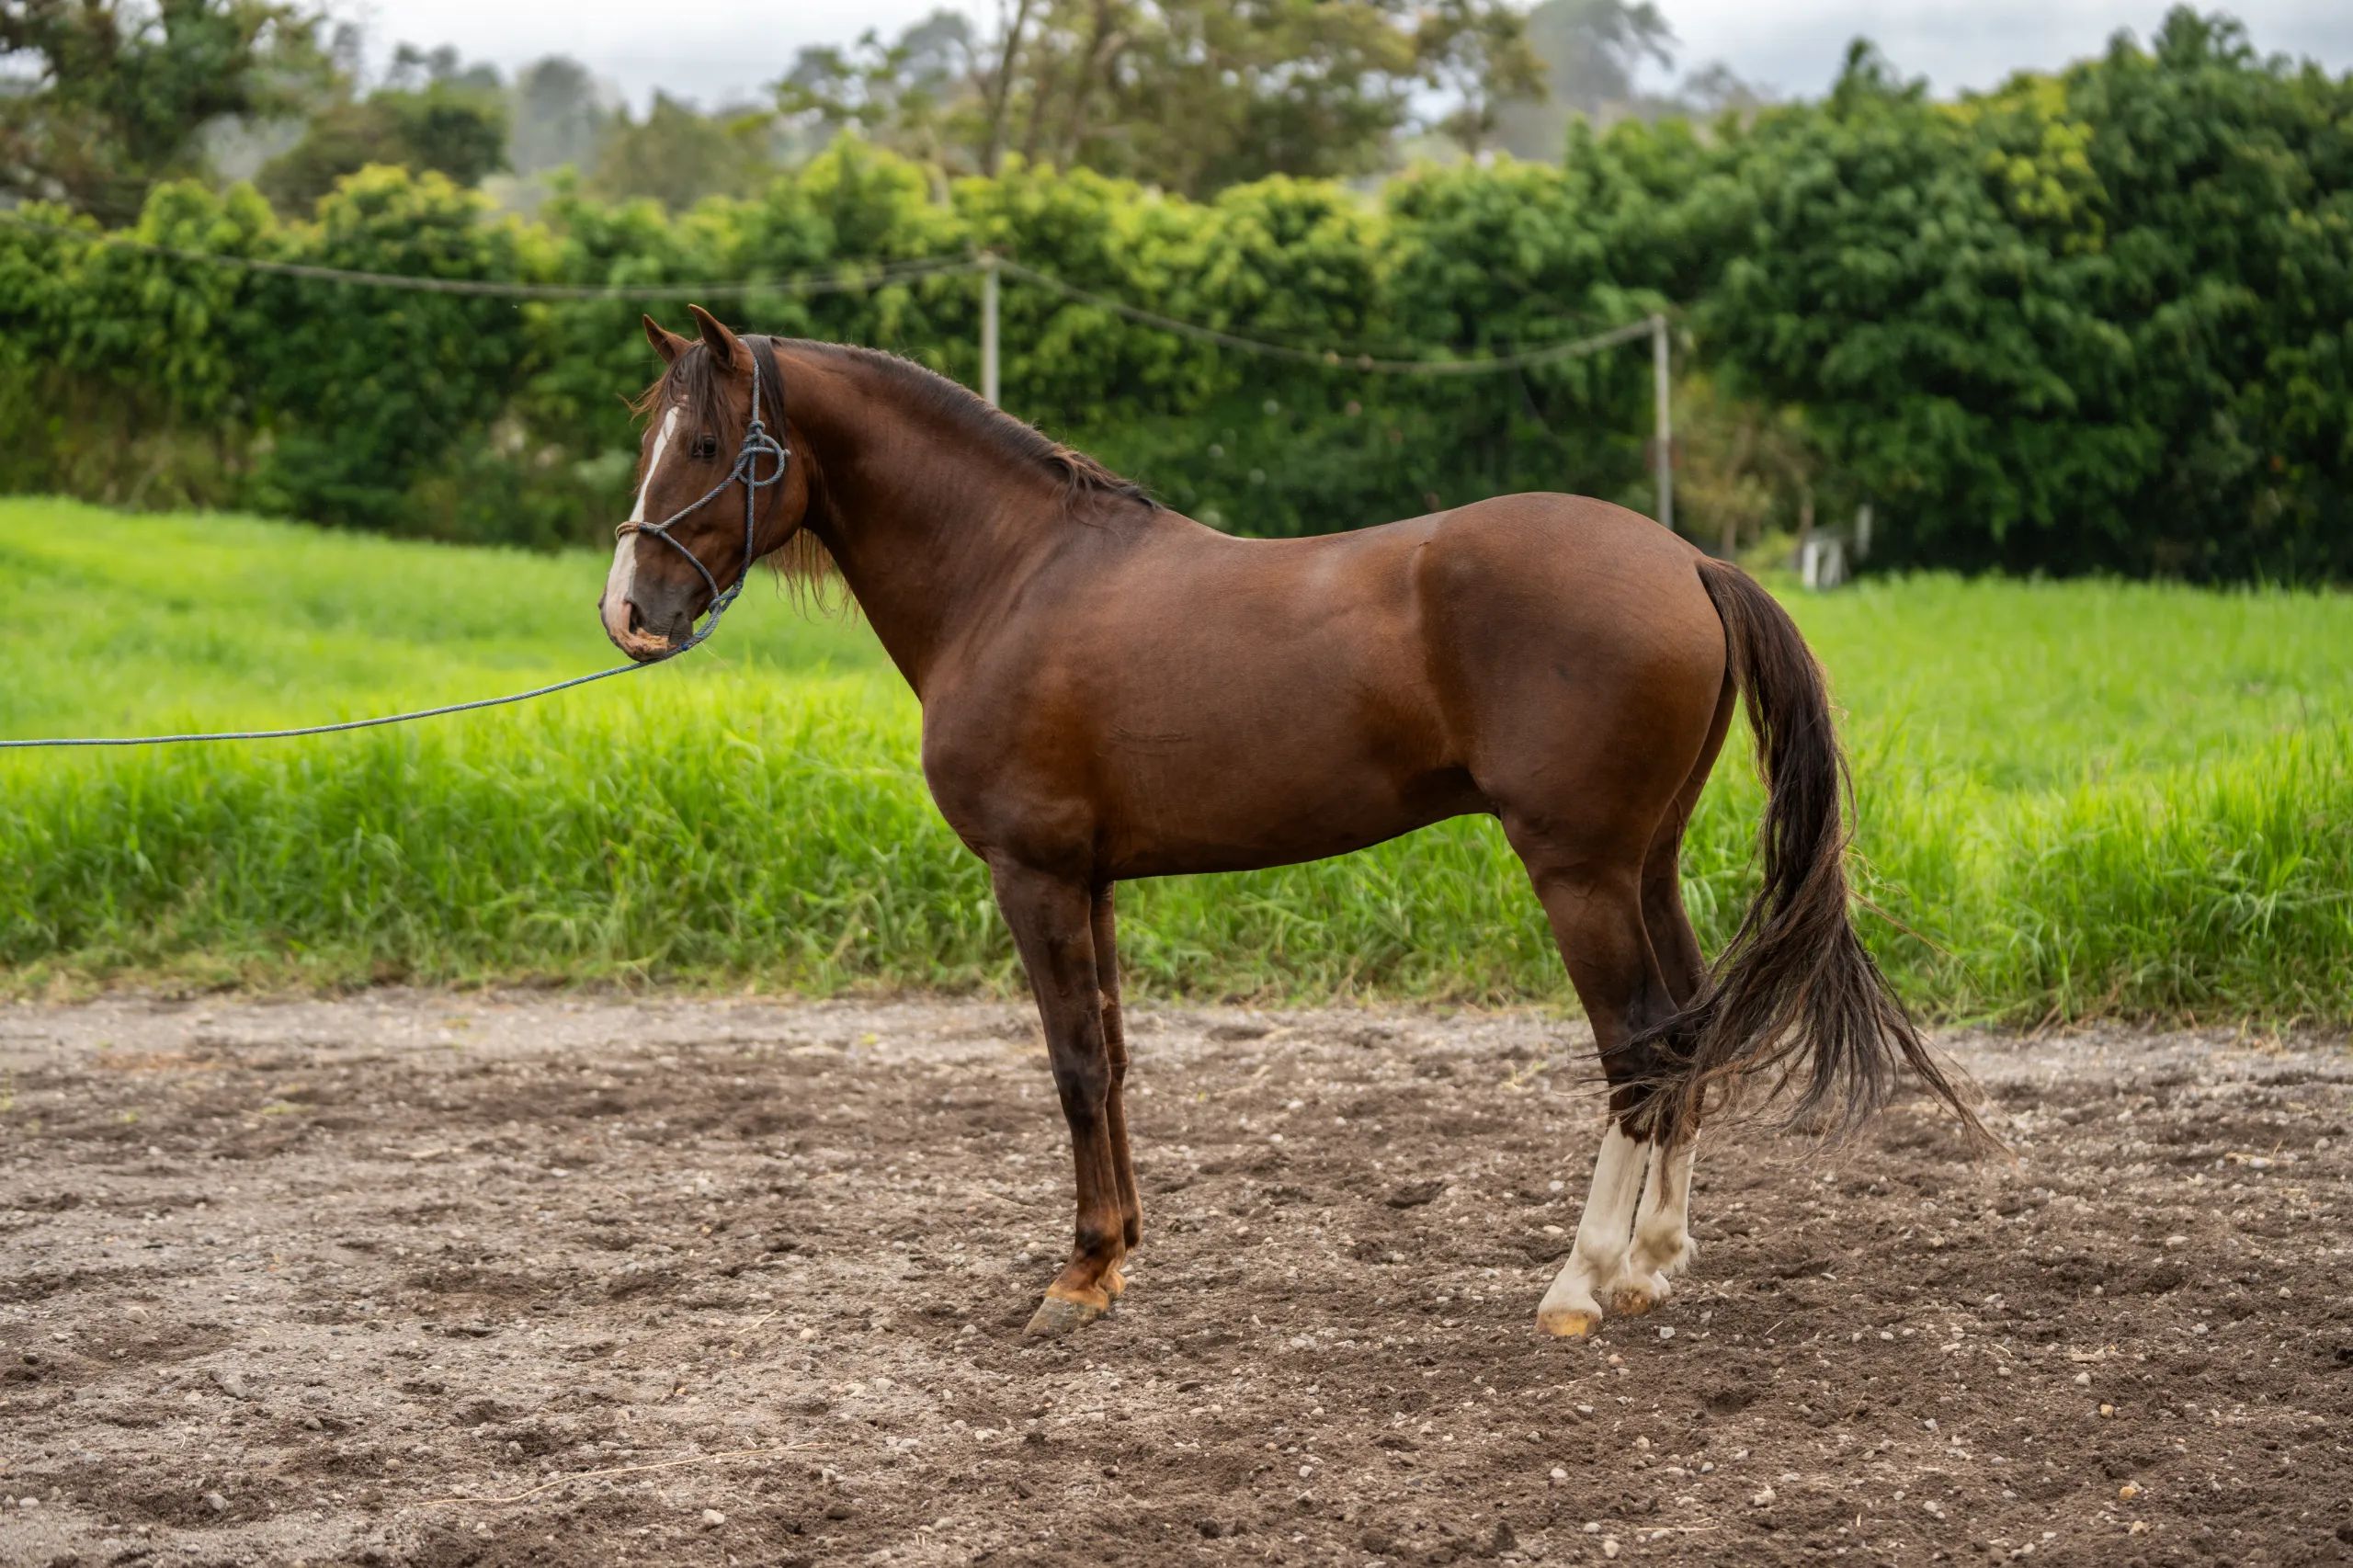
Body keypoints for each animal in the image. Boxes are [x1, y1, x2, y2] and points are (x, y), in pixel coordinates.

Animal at [600, 305, 1982, 1339]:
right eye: (652, 433)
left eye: (713, 442)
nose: (630, 610)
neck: (1014, 576)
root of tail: (1688, 559)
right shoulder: (1091, 880)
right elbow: (1115, 1058)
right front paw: (1120, 1254)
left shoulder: (1032, 874)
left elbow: (1074, 1064)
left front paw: (1078, 1272)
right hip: (1643, 864)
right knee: (1686, 1036)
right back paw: (1651, 1260)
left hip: (1581, 871)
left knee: (1641, 1049)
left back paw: (1581, 1281)